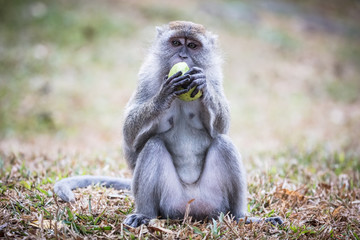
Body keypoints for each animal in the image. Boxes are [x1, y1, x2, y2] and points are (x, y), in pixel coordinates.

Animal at [54, 20, 282, 227]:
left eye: (192, 46)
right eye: (176, 43)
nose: (182, 56)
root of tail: (192, 208)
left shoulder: (215, 75)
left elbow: (220, 129)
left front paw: (204, 87)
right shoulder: (146, 76)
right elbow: (129, 134)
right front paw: (163, 96)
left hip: (214, 200)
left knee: (224, 144)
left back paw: (241, 217)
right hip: (170, 202)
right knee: (153, 145)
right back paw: (144, 214)